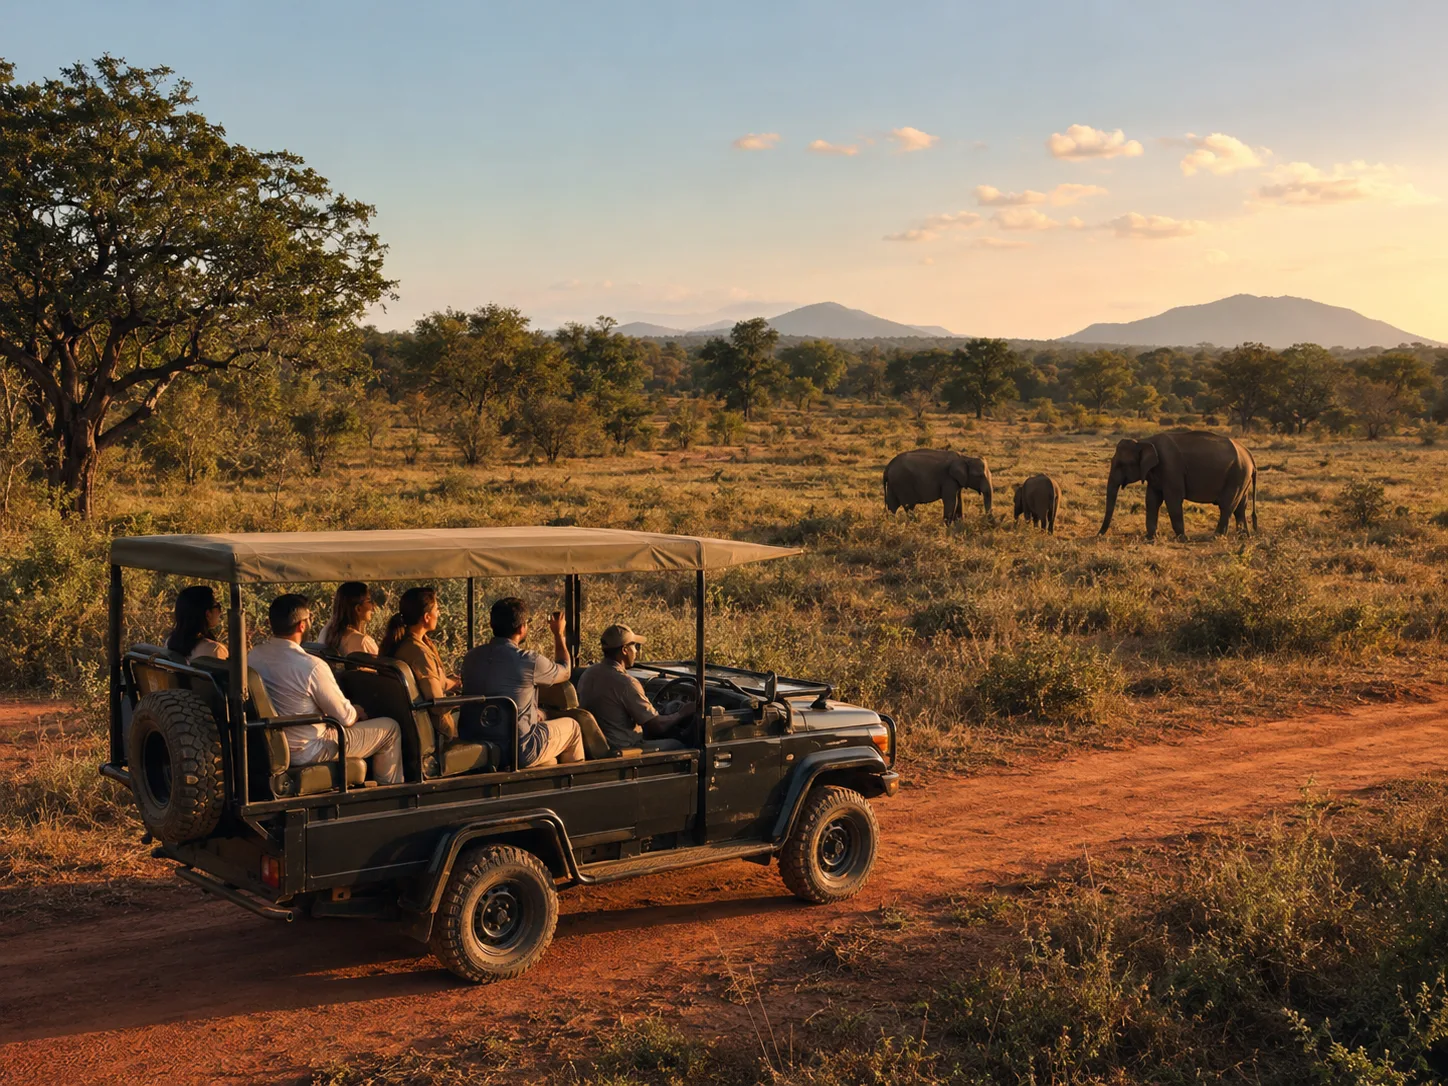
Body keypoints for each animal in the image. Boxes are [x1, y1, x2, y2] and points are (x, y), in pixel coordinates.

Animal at [1098, 430, 1257, 541]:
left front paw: (1182, 539)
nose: (1098, 535)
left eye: (1121, 465)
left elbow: (1172, 499)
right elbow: (1152, 500)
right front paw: (1150, 538)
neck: (1144, 441)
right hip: (1242, 478)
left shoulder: (1171, 468)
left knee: (1227, 506)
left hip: (1237, 475)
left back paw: (1215, 538)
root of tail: (1249, 455)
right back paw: (1244, 538)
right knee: (1240, 507)